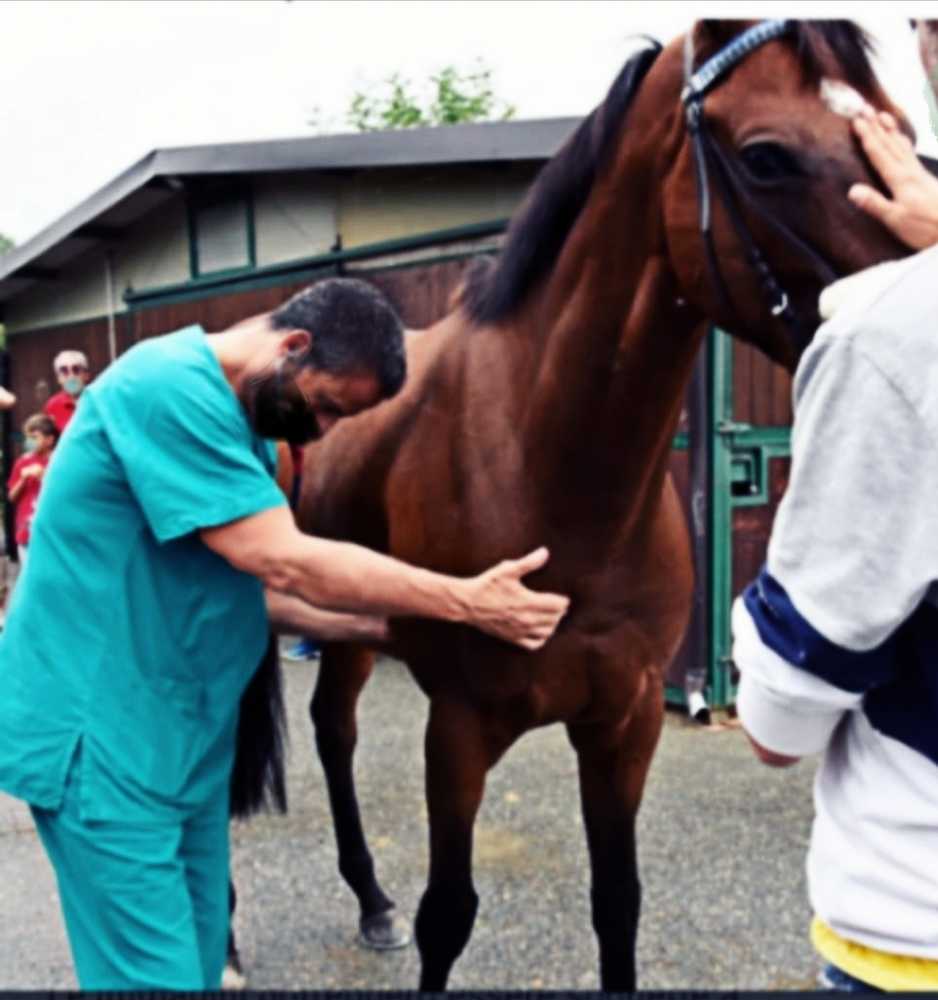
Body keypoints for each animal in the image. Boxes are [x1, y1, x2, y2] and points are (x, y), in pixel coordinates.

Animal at [234, 19, 912, 991]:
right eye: (766, 155)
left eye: (898, 130)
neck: (551, 471)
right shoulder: (459, 728)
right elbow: (448, 915)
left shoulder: (624, 723)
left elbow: (617, 904)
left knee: (333, 730)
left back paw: (368, 899)